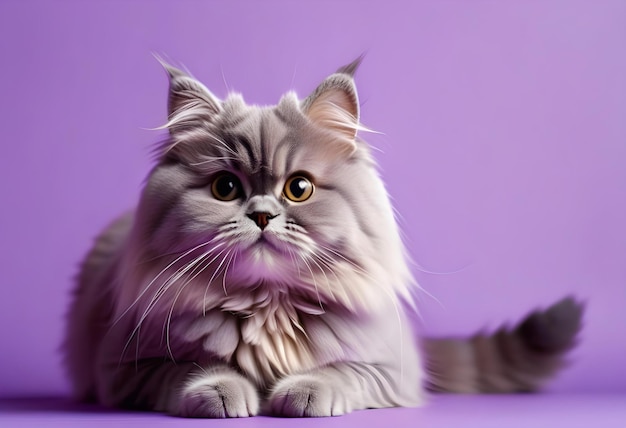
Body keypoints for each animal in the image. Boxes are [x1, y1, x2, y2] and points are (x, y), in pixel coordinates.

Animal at [63, 58, 580, 416]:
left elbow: (337, 372)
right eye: (226, 188)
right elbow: (194, 369)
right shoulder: (126, 369)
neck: (268, 306)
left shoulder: (389, 371)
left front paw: (301, 393)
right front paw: (227, 393)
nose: (263, 216)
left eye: (299, 188)